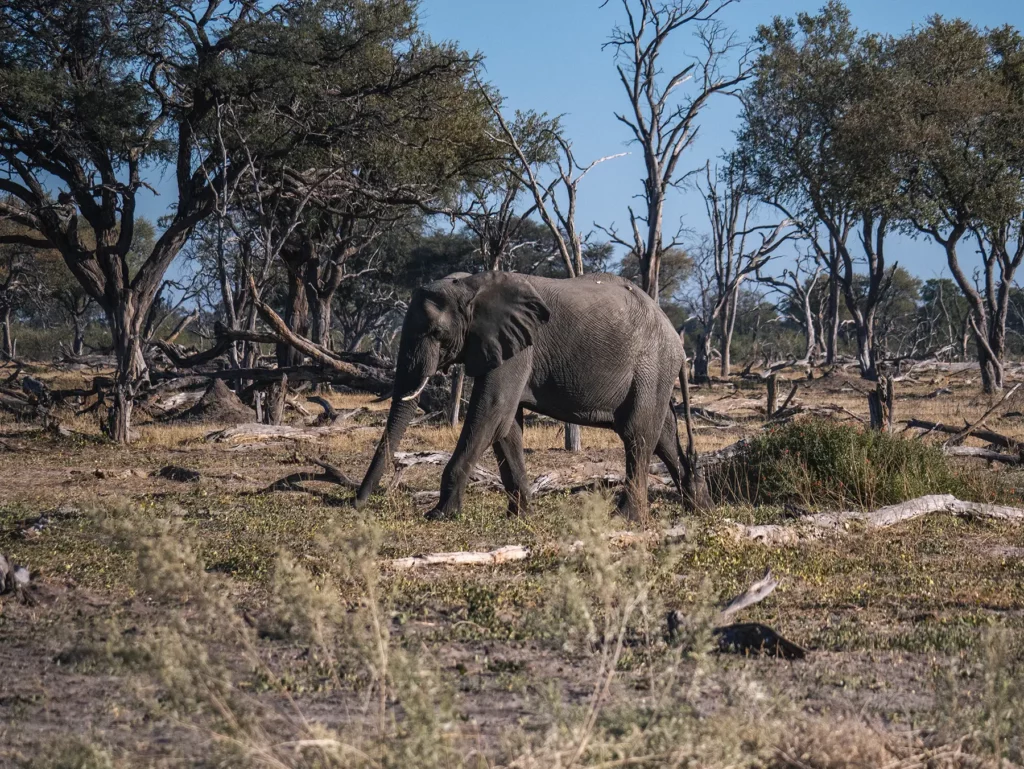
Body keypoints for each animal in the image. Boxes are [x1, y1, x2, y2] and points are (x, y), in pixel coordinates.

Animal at [355, 270, 697, 520]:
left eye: (437, 333)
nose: (356, 502)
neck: (472, 284)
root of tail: (677, 342)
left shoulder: (519, 349)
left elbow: (491, 411)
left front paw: (439, 515)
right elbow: (506, 425)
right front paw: (520, 516)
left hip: (650, 364)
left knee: (637, 434)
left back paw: (625, 519)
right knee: (663, 434)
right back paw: (699, 508)